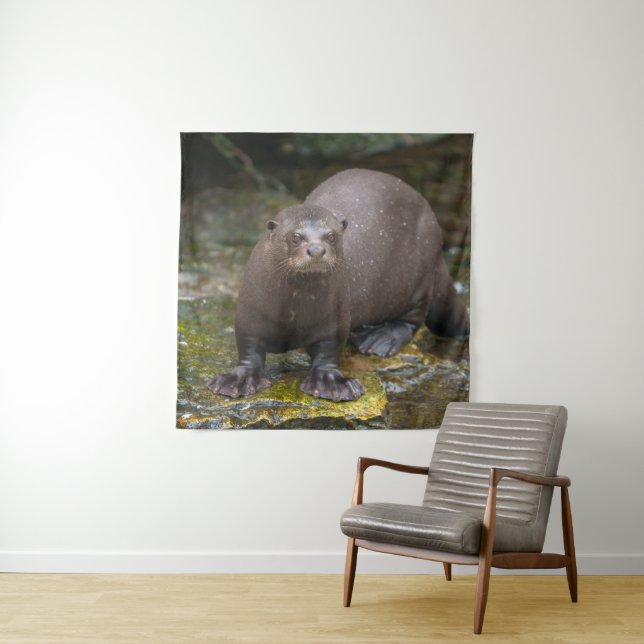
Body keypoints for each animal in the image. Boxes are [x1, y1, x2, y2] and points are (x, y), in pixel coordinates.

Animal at [206, 168, 469, 402]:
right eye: (296, 236)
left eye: (331, 236)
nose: (316, 250)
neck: (293, 310)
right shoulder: (250, 311)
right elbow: (249, 346)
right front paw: (238, 380)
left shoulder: (335, 314)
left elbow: (329, 349)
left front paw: (331, 383)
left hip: (422, 271)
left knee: (413, 318)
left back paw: (380, 339)